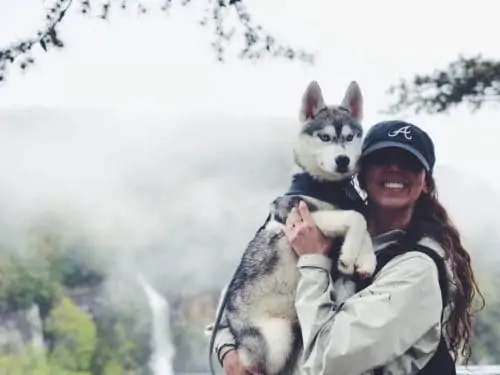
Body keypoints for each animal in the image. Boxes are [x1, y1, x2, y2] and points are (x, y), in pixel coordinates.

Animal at [207, 80, 376, 375]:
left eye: (350, 137)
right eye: (325, 137)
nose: (343, 160)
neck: (329, 188)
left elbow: (361, 221)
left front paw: (364, 259)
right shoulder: (294, 212)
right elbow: (357, 218)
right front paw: (349, 257)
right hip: (276, 338)